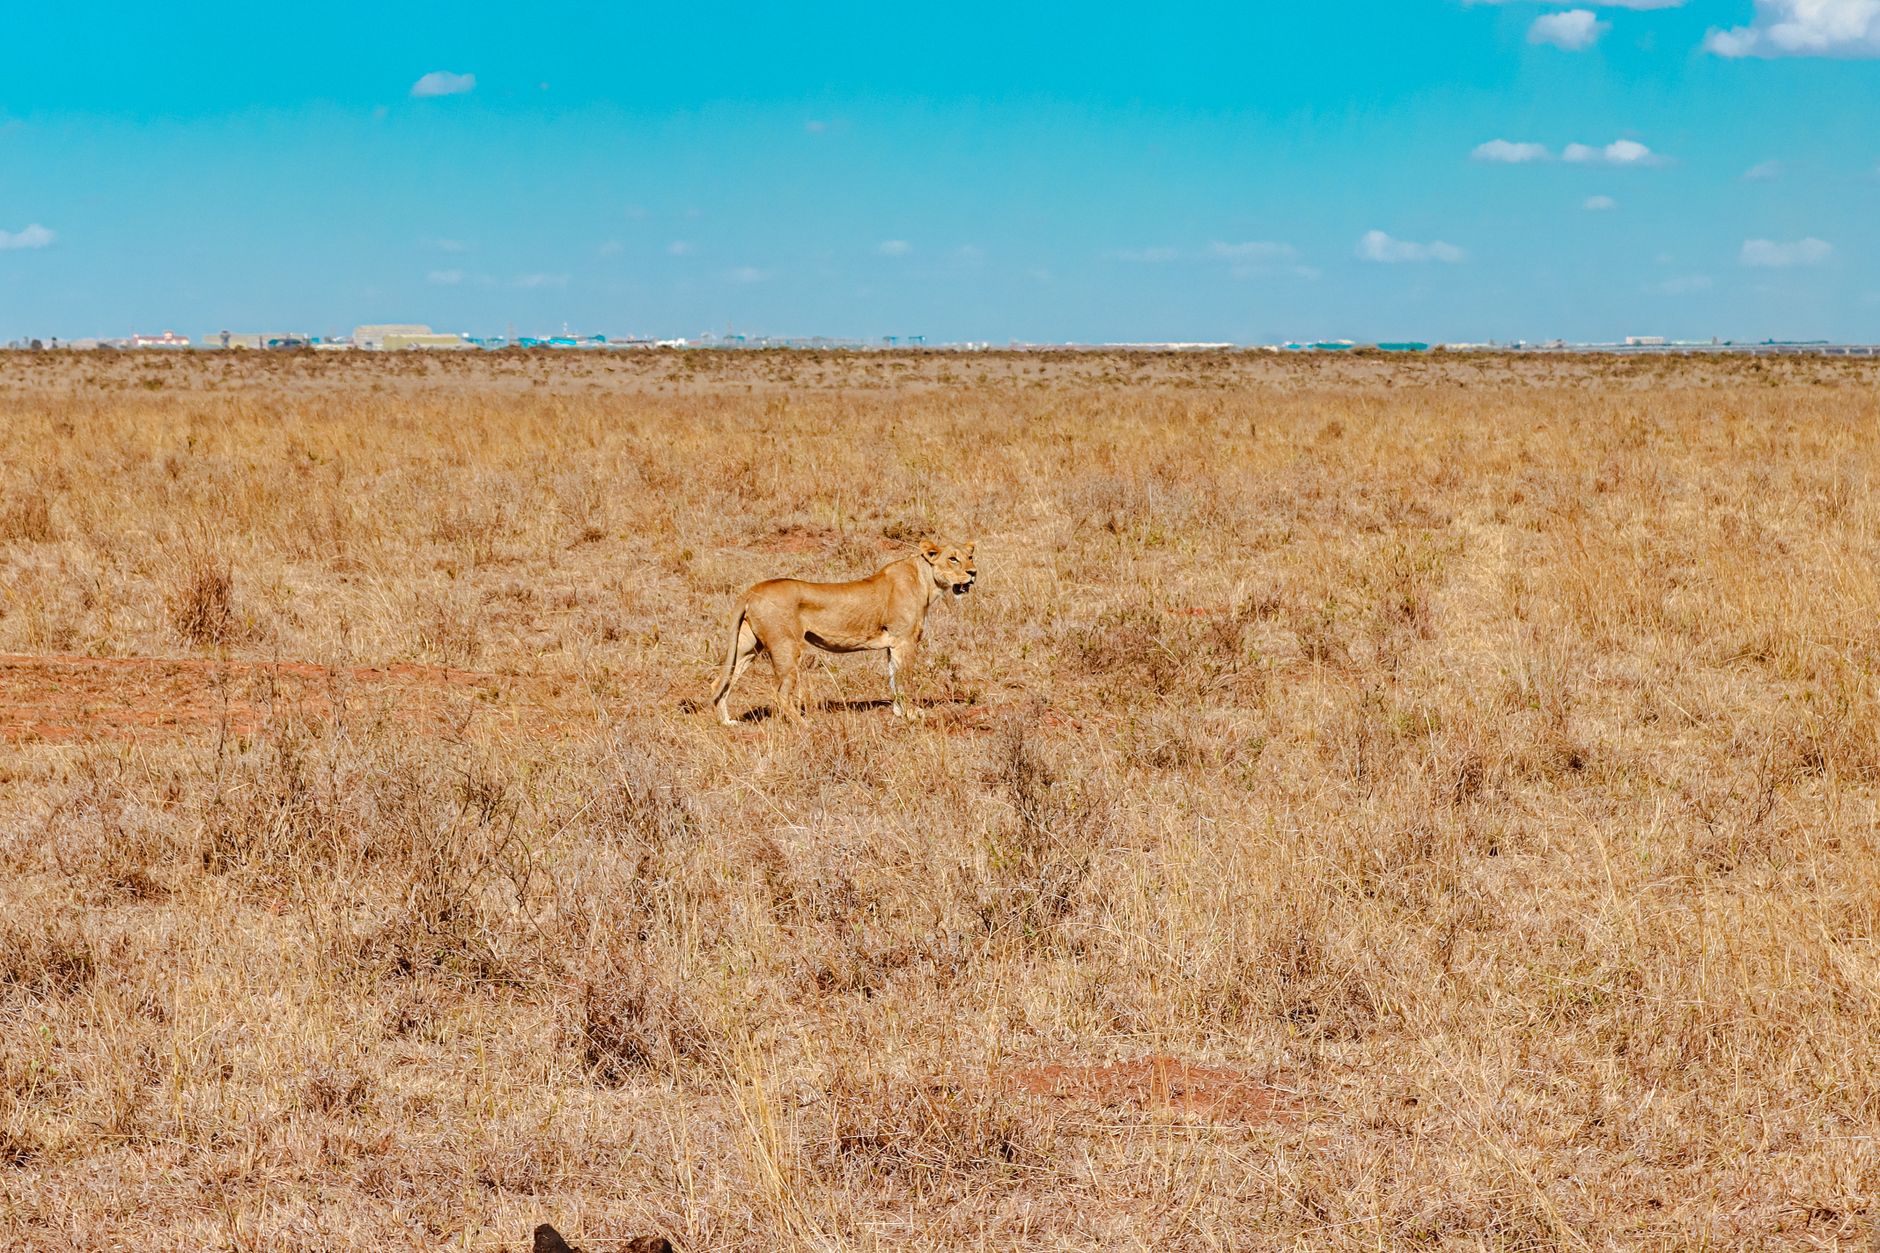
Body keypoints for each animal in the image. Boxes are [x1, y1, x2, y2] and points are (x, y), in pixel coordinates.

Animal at [712, 539, 977, 725]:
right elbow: (905, 680)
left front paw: (899, 712)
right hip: (786, 646)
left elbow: (893, 678)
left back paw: (727, 722)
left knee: (720, 682)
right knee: (780, 694)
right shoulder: (905, 641)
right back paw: (805, 724)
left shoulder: (893, 644)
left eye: (970, 556)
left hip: (747, 647)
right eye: (953, 559)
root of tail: (753, 589)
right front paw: (912, 713)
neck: (926, 580)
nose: (973, 573)